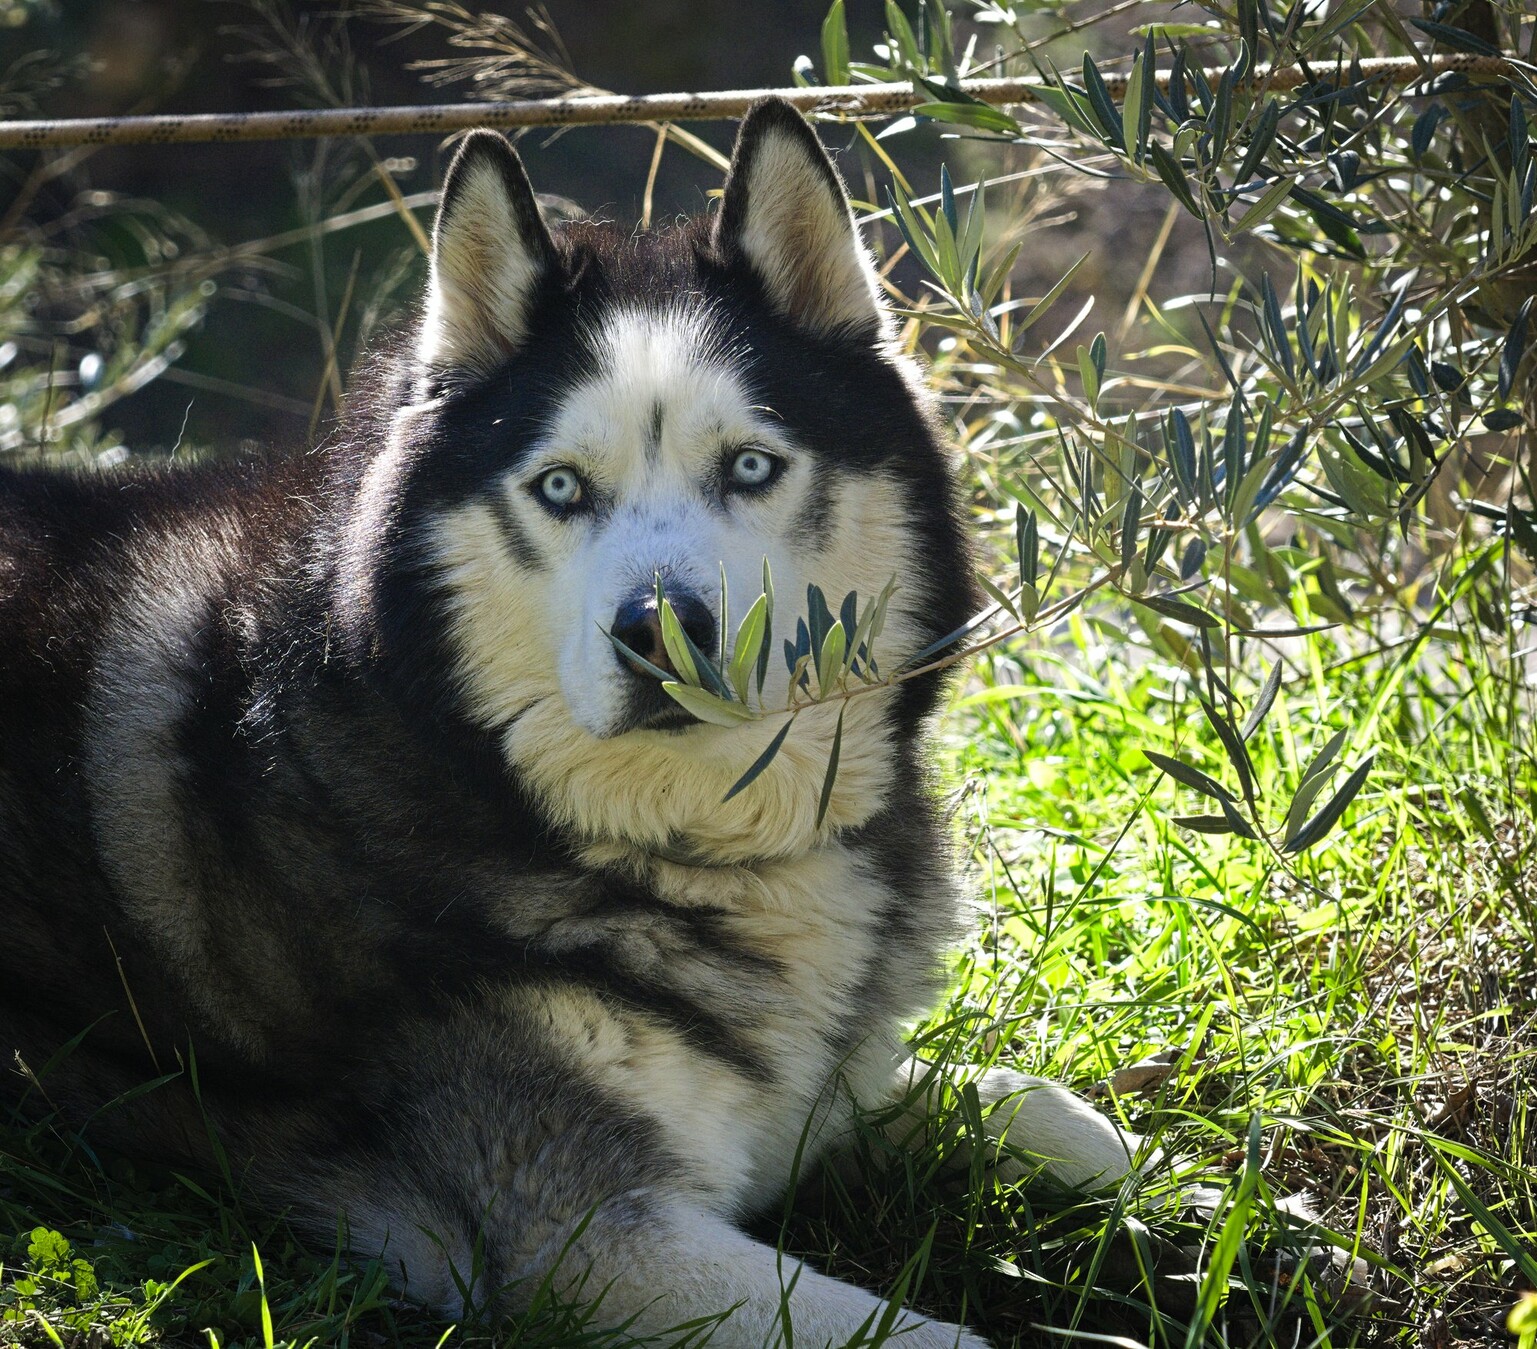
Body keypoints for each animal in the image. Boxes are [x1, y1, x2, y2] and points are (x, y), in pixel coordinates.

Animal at [0, 106, 1131, 1349]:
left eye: (750, 465)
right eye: (559, 487)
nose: (660, 629)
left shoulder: (806, 1098)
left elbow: (1062, 1118)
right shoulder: (587, 1239)